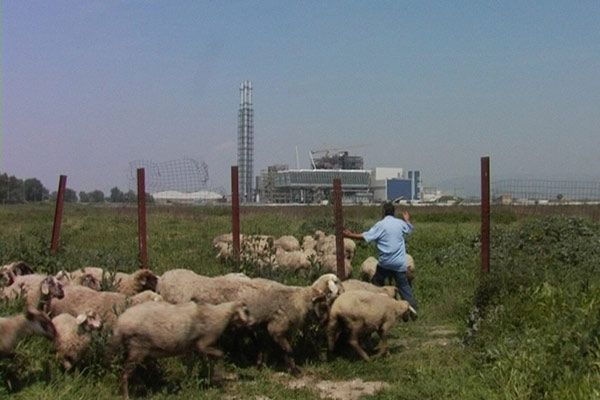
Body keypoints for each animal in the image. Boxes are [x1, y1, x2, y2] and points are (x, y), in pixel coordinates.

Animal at [112, 298, 253, 398]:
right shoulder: (203, 343)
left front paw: (189, 383)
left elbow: (193, 366)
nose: (252, 322)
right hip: (137, 349)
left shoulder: (190, 347)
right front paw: (222, 375)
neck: (220, 315)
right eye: (246, 311)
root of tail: (119, 325)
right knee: (124, 374)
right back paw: (126, 395)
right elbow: (218, 354)